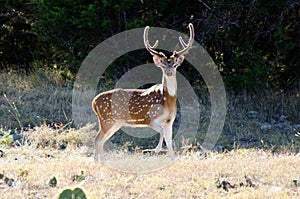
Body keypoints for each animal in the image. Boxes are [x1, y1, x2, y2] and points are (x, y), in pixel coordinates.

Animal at [92, 24, 195, 162]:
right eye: (163, 65)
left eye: (174, 65)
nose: (169, 72)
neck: (168, 100)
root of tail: (94, 102)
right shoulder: (149, 118)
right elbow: (161, 132)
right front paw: (155, 149)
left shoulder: (170, 122)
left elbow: (170, 145)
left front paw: (172, 161)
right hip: (106, 120)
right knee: (97, 139)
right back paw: (98, 162)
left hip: (115, 123)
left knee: (101, 141)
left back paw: (101, 161)